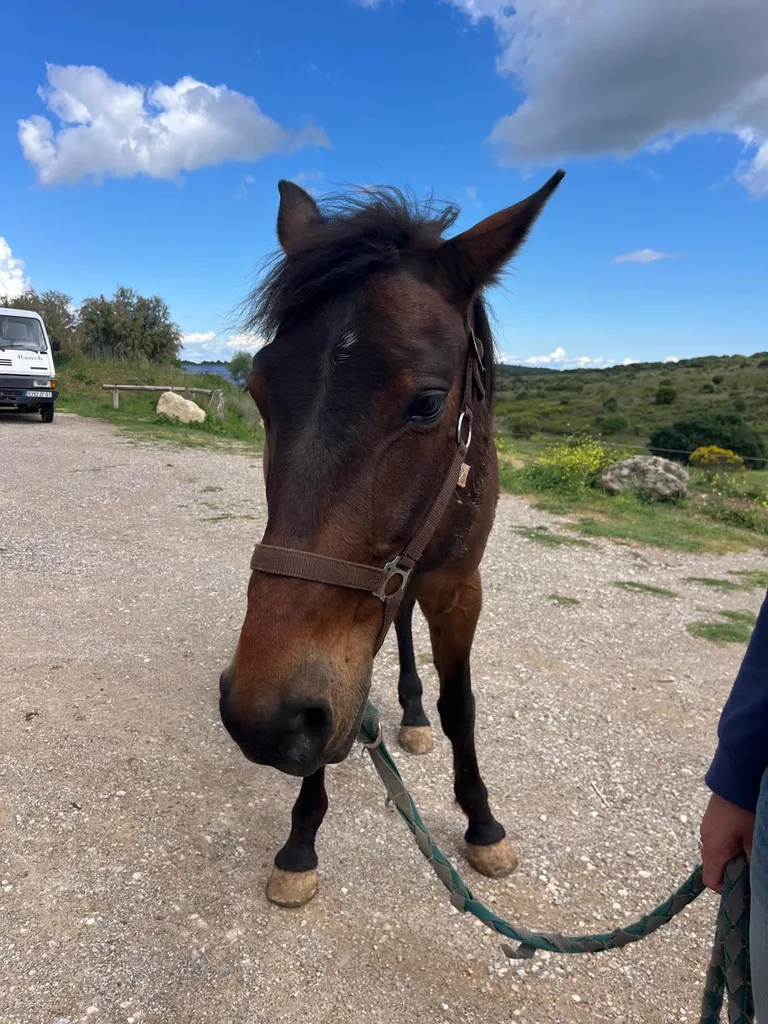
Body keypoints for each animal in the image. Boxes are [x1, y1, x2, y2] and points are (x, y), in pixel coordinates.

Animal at [219, 171, 565, 908]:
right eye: (259, 392)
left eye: (428, 403)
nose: (261, 719)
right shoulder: (349, 632)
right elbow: (339, 709)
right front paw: (300, 843)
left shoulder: (459, 587)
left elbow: (461, 706)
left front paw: (482, 824)